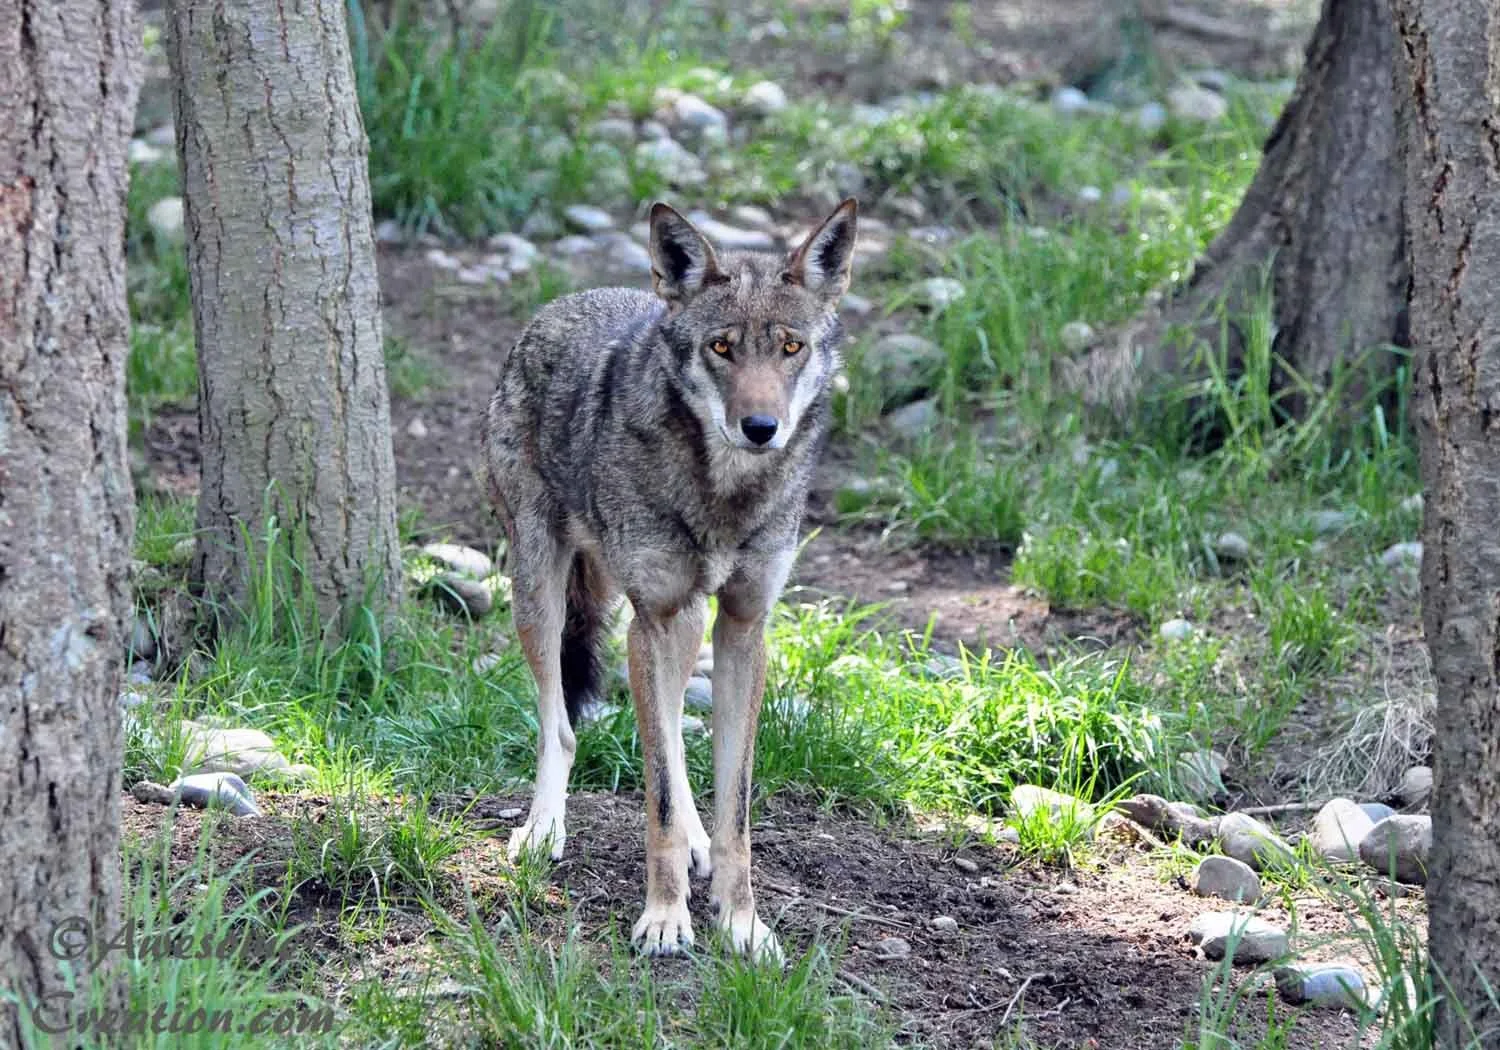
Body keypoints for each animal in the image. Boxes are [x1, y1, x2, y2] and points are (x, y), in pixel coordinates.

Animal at [482, 199, 858, 961]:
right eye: (721, 348)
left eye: (790, 348)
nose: (761, 427)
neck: (724, 495)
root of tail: (571, 298)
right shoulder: (652, 619)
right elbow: (651, 792)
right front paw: (663, 919)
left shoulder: (744, 626)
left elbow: (734, 804)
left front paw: (742, 925)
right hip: (542, 594)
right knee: (562, 726)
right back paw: (543, 830)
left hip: (680, 628)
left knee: (674, 739)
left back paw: (694, 842)